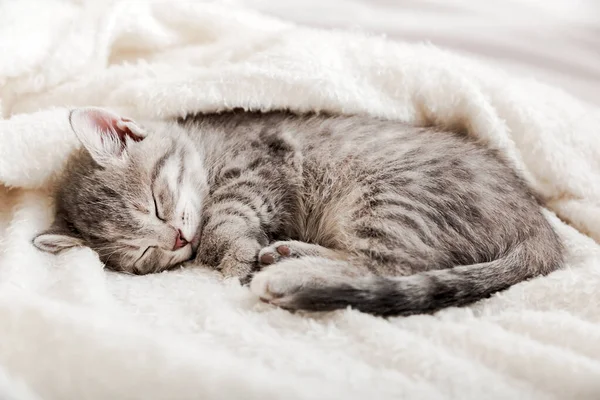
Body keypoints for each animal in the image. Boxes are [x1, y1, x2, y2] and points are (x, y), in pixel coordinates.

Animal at [34, 106, 564, 316]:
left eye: (157, 203)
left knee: (392, 267)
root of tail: (539, 228)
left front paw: (229, 256)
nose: (178, 241)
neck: (208, 145)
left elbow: (224, 223)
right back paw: (289, 256)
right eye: (144, 256)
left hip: (389, 197)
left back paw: (289, 273)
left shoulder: (258, 169)